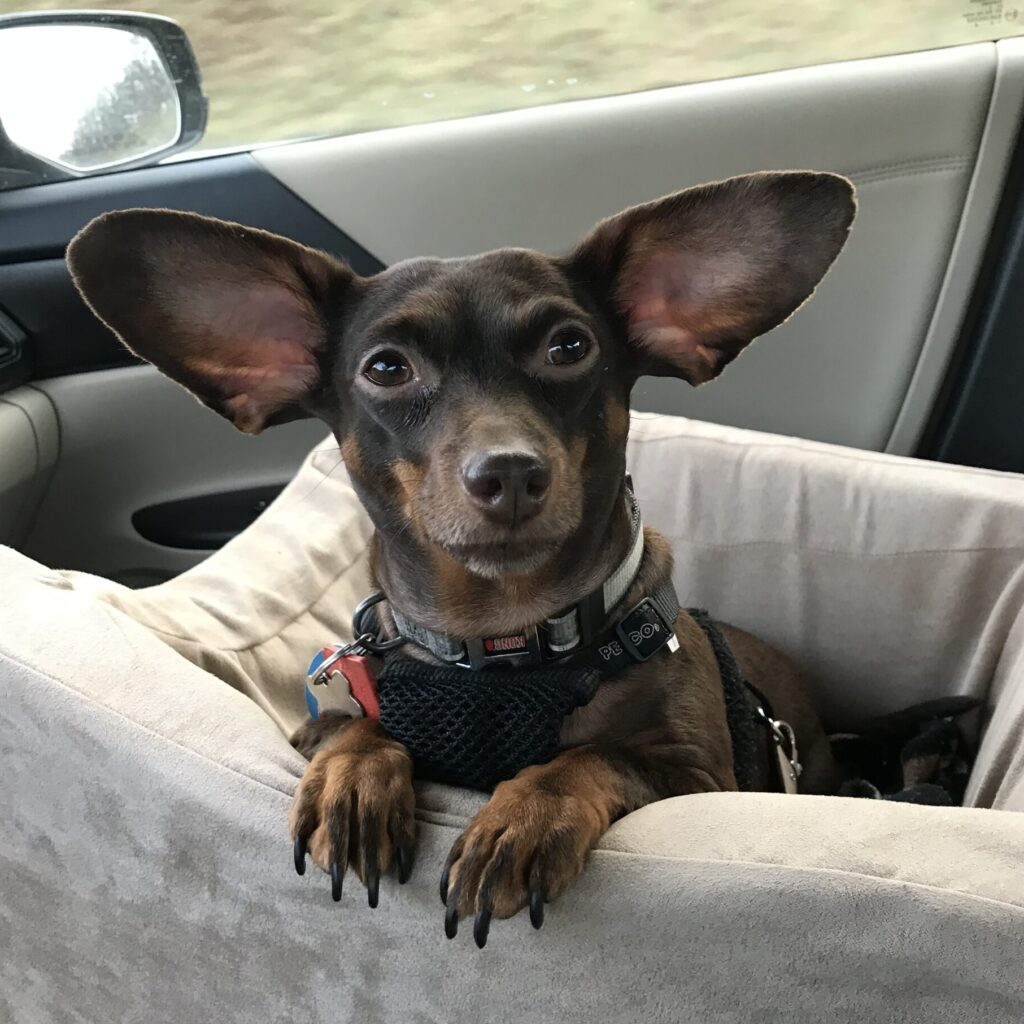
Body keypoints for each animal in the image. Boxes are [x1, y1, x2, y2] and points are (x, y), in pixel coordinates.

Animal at [66, 167, 856, 942]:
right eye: (387, 368)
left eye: (569, 347)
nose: (508, 471)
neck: (503, 639)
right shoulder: (318, 725)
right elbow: (352, 727)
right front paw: (355, 778)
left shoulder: (697, 778)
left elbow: (589, 755)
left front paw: (524, 818)